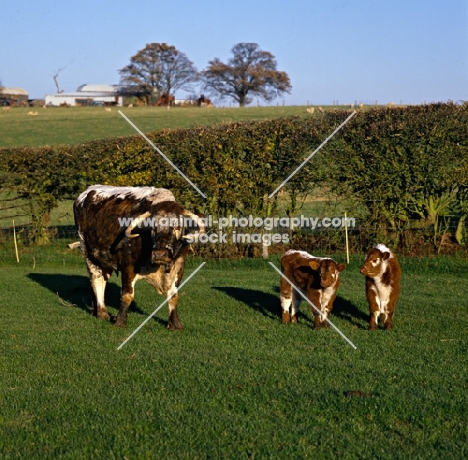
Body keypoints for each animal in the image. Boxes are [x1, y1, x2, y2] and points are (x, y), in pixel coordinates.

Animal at [73, 185, 203, 328]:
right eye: (153, 227)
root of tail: (89, 190)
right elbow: (127, 295)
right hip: (87, 253)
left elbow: (173, 296)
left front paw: (175, 324)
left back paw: (96, 309)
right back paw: (102, 313)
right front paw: (120, 321)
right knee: (97, 281)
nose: (160, 254)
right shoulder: (128, 265)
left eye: (177, 227)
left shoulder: (179, 266)